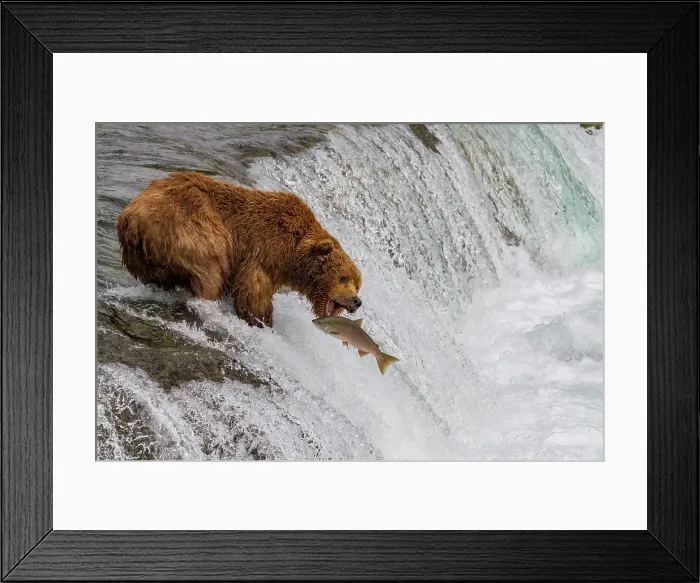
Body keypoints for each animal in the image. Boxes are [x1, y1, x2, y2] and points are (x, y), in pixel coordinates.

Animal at [116, 172, 363, 327]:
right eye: (343, 277)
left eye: (357, 283)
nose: (356, 301)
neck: (293, 254)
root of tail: (132, 216)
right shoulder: (264, 248)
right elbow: (253, 291)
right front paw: (261, 319)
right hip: (192, 229)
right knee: (210, 271)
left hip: (138, 255)